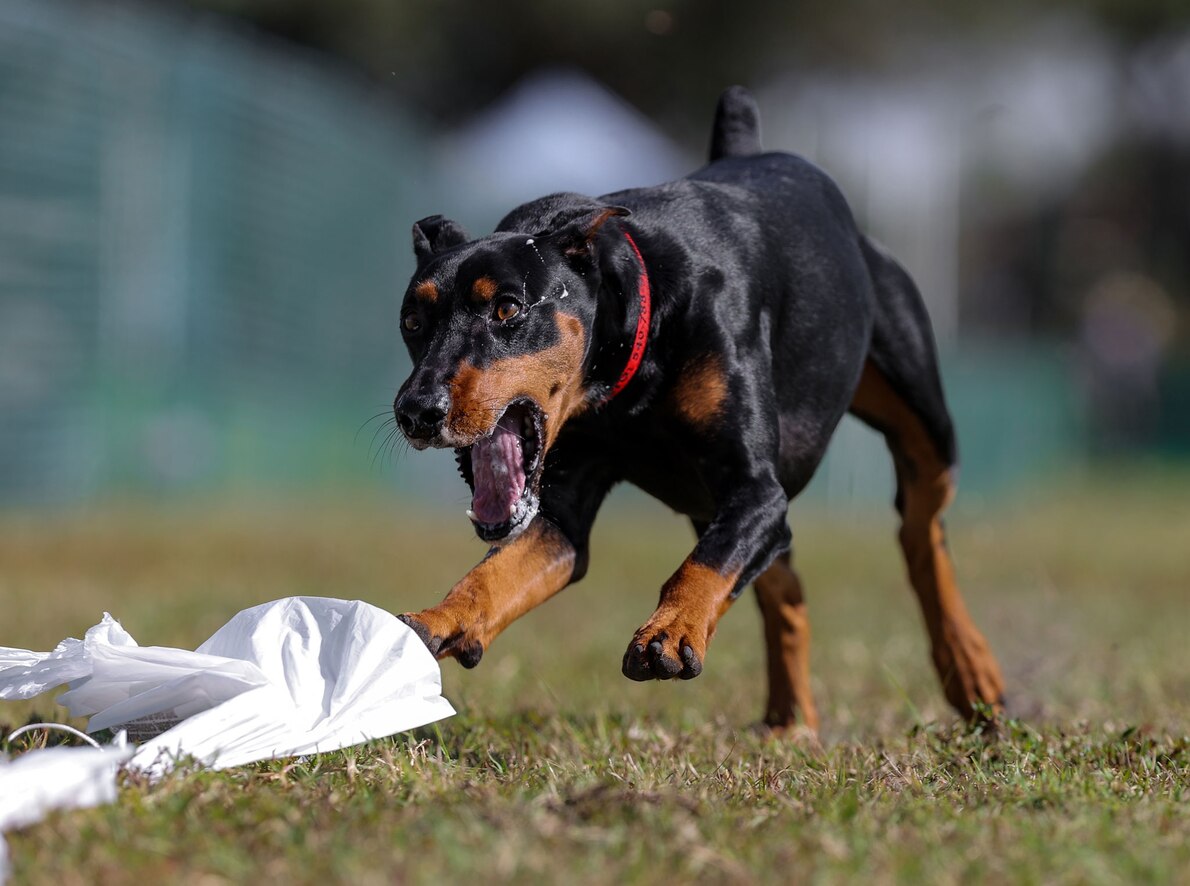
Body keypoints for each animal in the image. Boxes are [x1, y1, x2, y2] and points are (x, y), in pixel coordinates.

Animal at [392, 86, 1004, 727]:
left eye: (508, 308)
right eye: (411, 321)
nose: (416, 410)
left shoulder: (756, 490)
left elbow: (704, 563)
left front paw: (669, 632)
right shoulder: (562, 514)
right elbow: (494, 571)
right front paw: (432, 623)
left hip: (921, 421)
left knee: (920, 530)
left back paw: (970, 670)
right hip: (712, 502)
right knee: (787, 588)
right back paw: (790, 723)